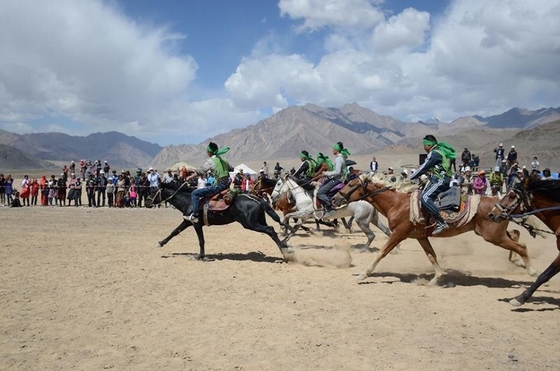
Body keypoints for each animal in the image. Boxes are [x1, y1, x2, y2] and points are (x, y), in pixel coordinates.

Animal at [147, 182, 294, 260]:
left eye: (153, 191)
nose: (148, 203)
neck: (188, 201)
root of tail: (255, 198)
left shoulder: (196, 223)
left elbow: (201, 240)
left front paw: (200, 256)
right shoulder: (188, 222)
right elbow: (174, 232)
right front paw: (161, 243)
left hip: (251, 224)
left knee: (271, 230)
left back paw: (285, 252)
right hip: (258, 221)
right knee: (272, 230)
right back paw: (284, 246)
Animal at [330, 174, 536, 284]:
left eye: (351, 184)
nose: (334, 198)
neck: (398, 203)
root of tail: (498, 203)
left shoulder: (398, 234)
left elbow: (381, 252)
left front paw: (363, 274)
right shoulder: (420, 237)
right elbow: (431, 255)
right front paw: (437, 278)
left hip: (492, 236)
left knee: (522, 246)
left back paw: (531, 271)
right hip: (494, 234)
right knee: (516, 235)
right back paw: (517, 262)